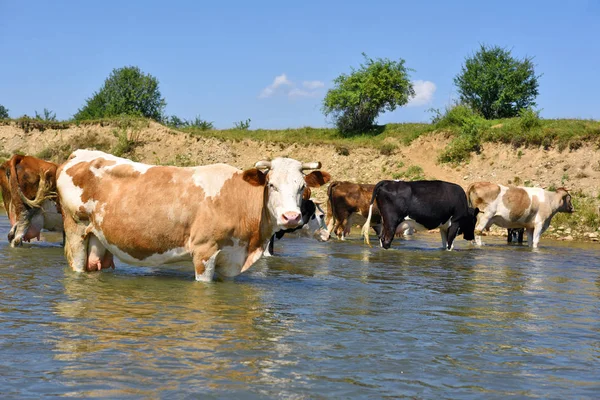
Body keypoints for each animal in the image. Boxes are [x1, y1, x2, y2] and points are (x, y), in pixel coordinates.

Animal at [56, 150, 330, 282]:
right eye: (271, 185)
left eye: (301, 187)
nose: (290, 217)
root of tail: (79, 154)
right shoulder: (204, 252)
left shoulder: (230, 258)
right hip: (76, 231)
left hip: (99, 239)